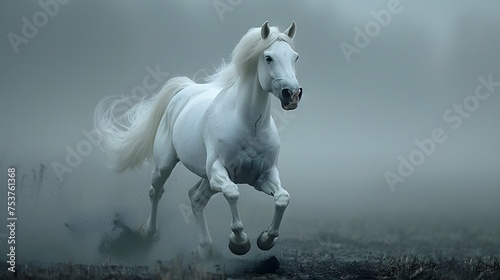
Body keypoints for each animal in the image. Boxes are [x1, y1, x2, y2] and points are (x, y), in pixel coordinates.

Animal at [95, 21, 302, 258]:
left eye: (295, 57)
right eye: (268, 57)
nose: (292, 94)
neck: (250, 126)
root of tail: (184, 90)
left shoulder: (264, 175)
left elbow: (283, 198)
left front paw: (266, 239)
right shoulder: (218, 172)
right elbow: (233, 193)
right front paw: (239, 242)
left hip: (206, 177)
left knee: (196, 198)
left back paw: (204, 249)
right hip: (166, 164)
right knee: (156, 191)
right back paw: (148, 233)